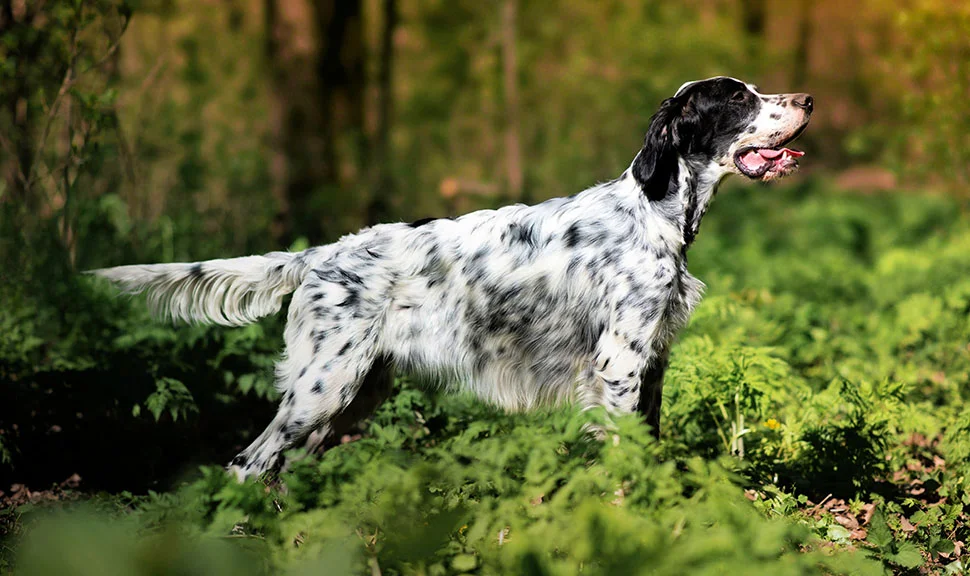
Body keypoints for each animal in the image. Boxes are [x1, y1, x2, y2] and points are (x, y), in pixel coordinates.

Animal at [94, 77, 812, 482]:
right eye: (739, 97)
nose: (808, 99)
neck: (654, 212)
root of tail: (319, 254)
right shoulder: (618, 365)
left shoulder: (652, 362)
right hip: (320, 392)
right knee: (247, 465)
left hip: (354, 392)